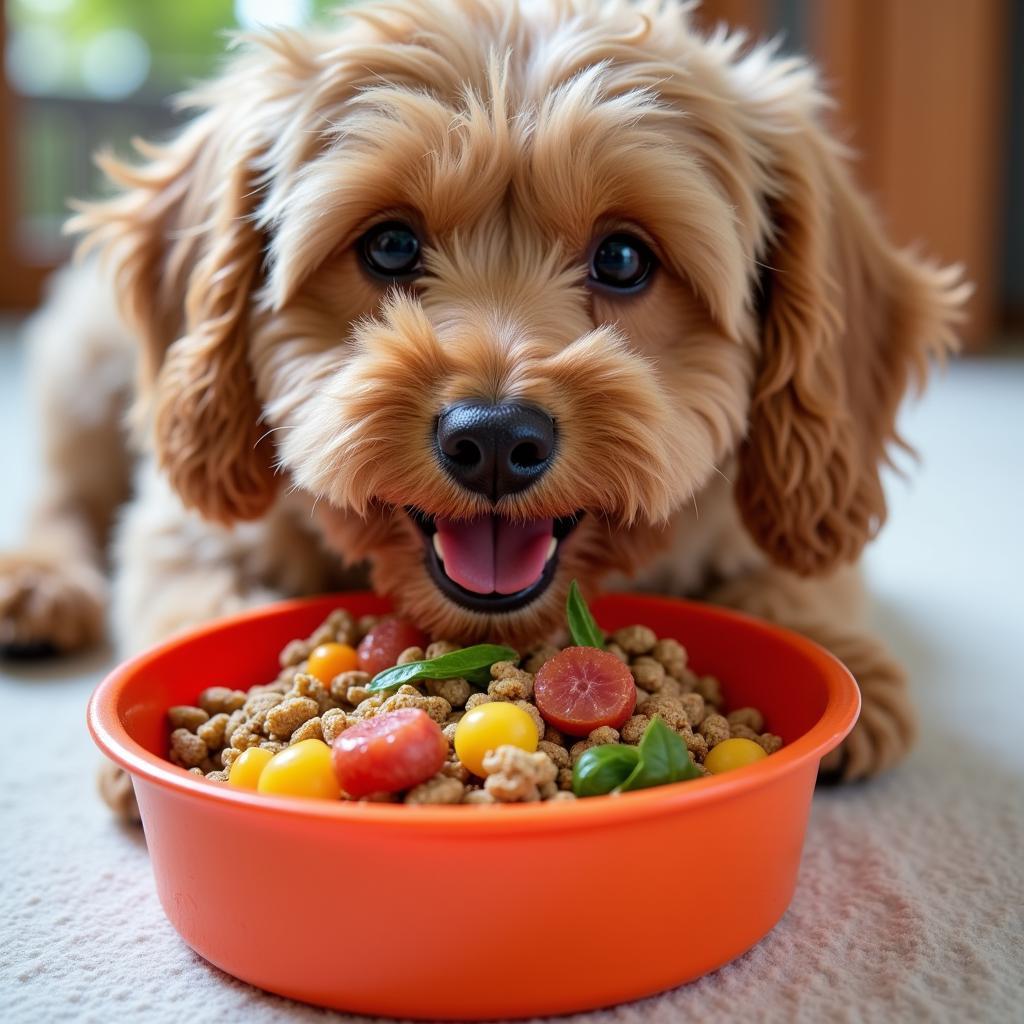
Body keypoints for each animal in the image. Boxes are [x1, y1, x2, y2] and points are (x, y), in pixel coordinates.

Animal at [0, 0, 966, 794]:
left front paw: (844, 658)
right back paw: (36, 581)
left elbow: (797, 578)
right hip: (92, 366)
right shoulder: (187, 526)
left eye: (624, 258)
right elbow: (191, 586)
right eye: (389, 244)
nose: (495, 438)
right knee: (62, 488)